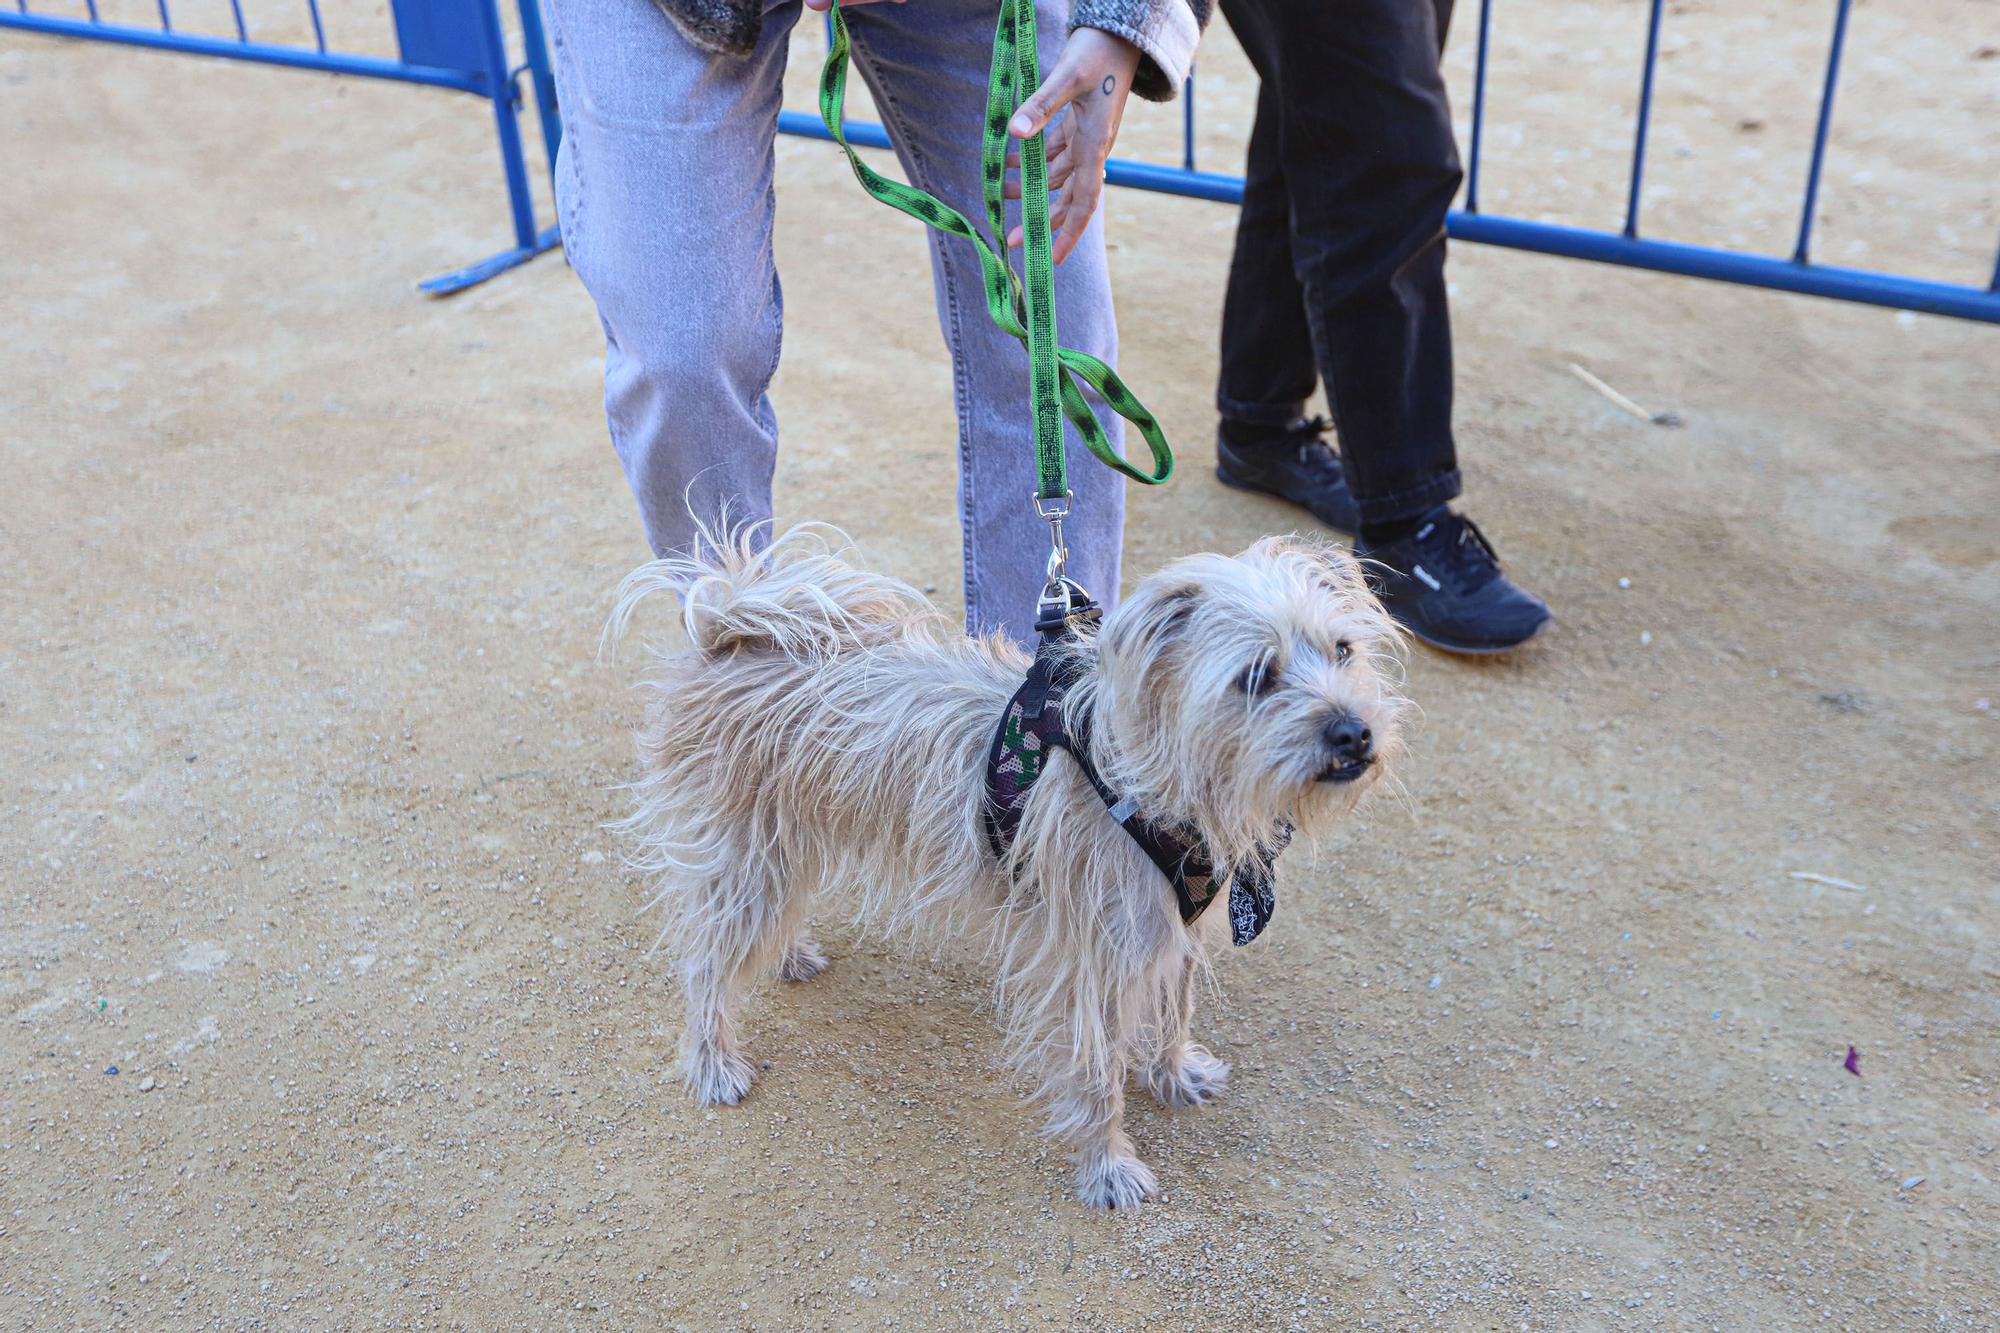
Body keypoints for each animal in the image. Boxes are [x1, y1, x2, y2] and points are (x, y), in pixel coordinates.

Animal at [608, 520, 1408, 1200]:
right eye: (1256, 676)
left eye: (1343, 650)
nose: (1354, 733)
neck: (1150, 778)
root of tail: (725, 633)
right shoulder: (1089, 961)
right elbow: (1096, 1069)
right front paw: (1107, 1167)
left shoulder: (1168, 934)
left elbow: (1173, 1012)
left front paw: (1175, 1075)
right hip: (746, 860)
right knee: (705, 962)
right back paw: (713, 1061)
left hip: (786, 842)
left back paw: (789, 953)